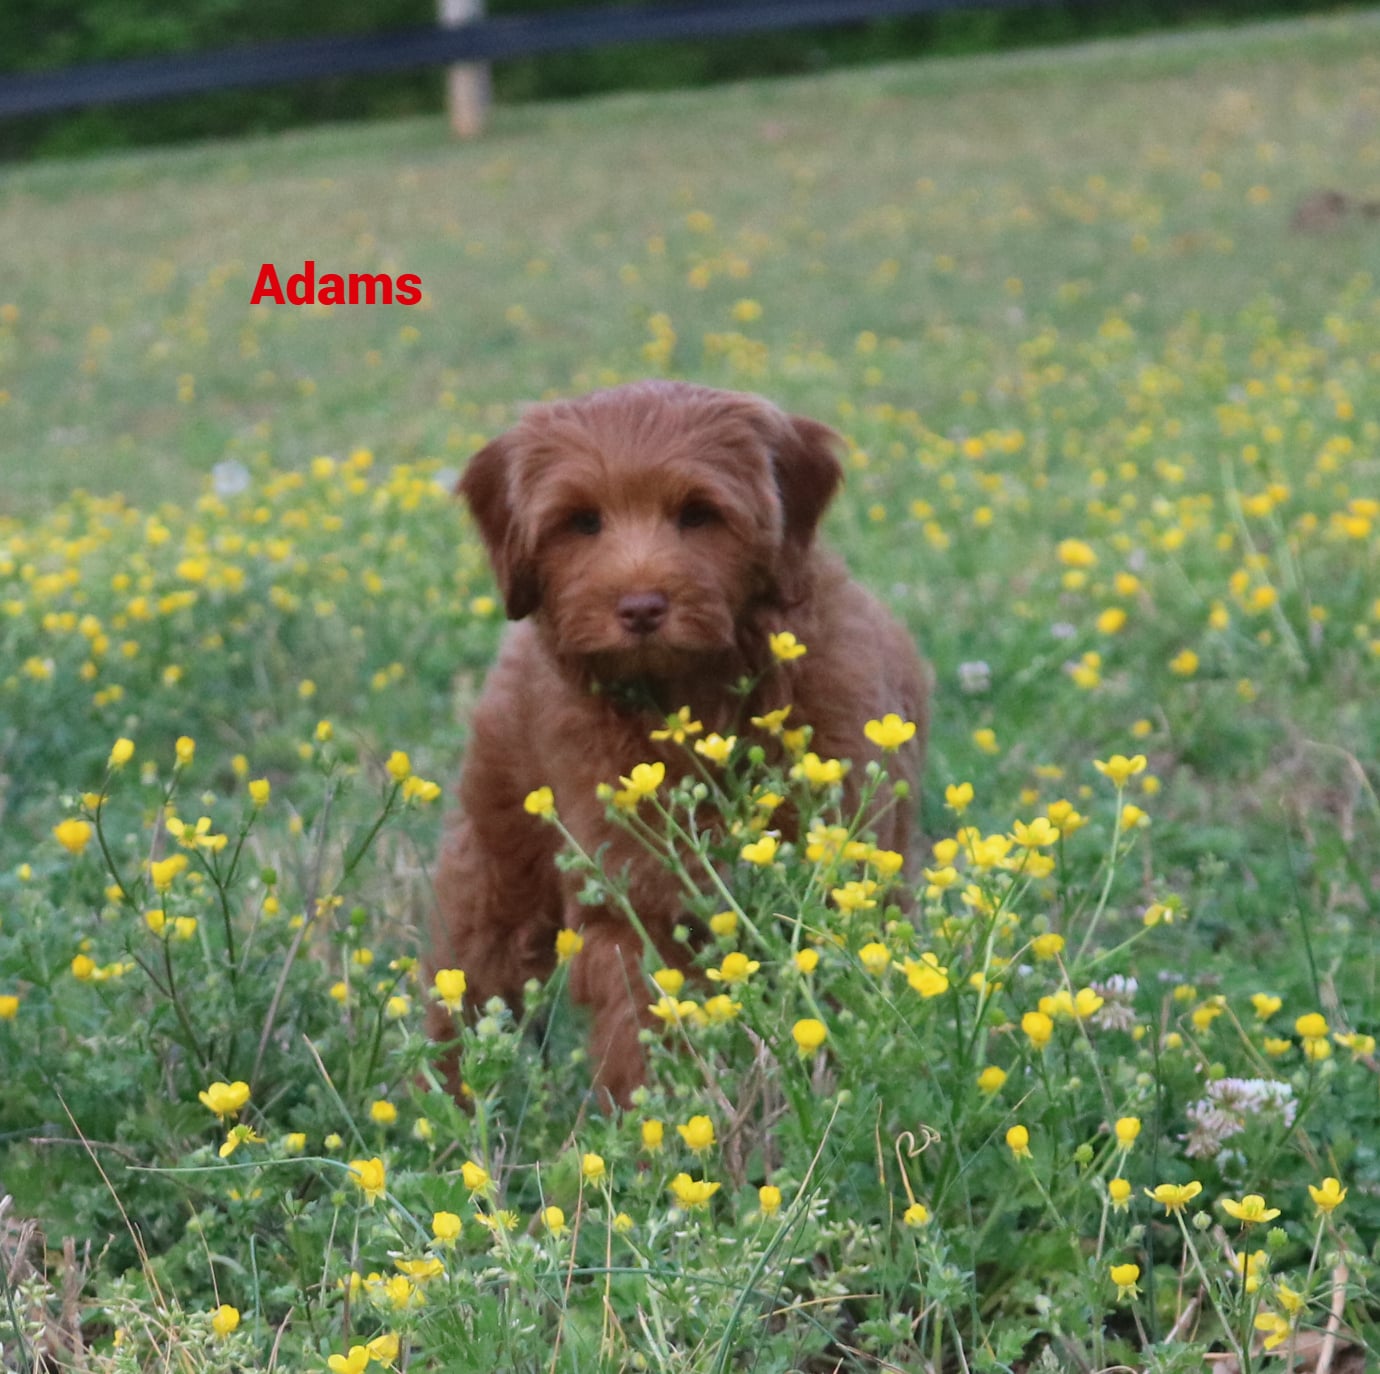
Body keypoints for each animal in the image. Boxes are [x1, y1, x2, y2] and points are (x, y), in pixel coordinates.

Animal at [426, 380, 928, 1106]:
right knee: (467, 976)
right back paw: (445, 1099)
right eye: (582, 522)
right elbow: (644, 1017)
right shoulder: (633, 901)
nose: (640, 608)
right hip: (495, 869)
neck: (697, 702)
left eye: (698, 514)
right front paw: (663, 1117)